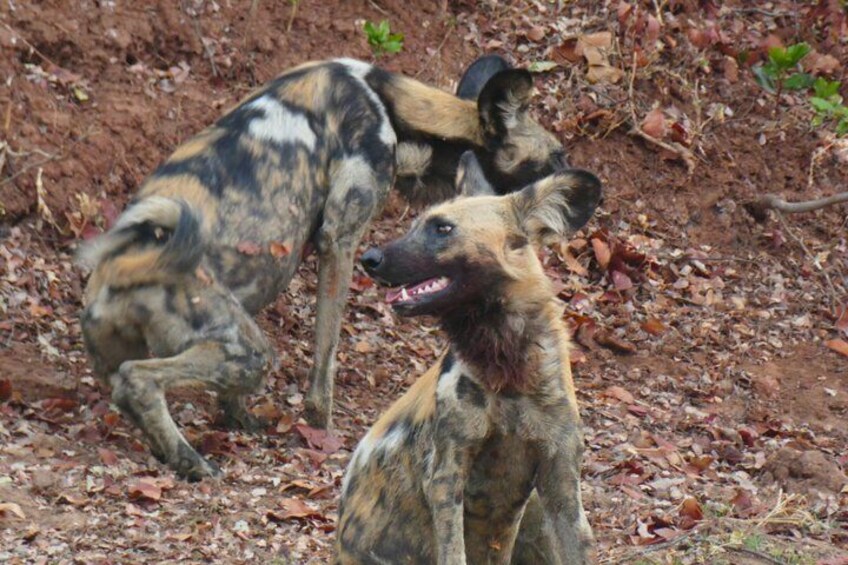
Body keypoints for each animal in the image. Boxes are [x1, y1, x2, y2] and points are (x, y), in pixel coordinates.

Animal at [77, 57, 569, 479]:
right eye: (557, 157)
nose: (578, 185)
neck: (392, 110)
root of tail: (120, 267)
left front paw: (237, 417)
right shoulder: (340, 240)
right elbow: (325, 359)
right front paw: (322, 432)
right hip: (249, 352)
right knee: (140, 379)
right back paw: (191, 461)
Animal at [336, 151, 601, 564]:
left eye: (442, 229)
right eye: (415, 226)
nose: (369, 258)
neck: (507, 365)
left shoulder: (560, 478)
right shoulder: (446, 476)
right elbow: (453, 551)